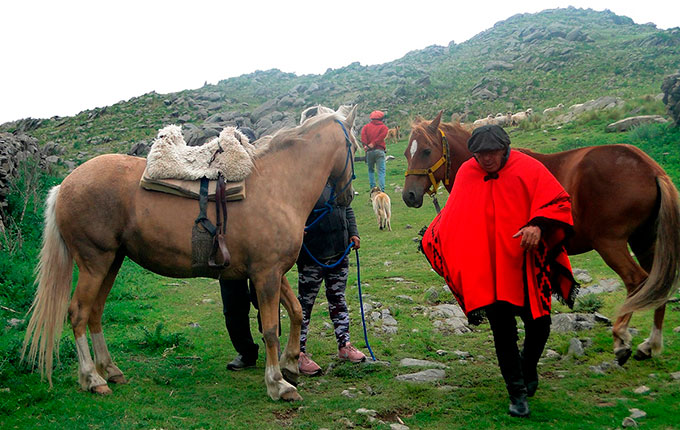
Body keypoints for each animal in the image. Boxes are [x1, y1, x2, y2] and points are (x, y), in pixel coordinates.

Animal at [22, 106, 362, 402]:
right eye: (355, 146)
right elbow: (270, 329)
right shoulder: (265, 274)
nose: (346, 197)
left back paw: (111, 370)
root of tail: (64, 185)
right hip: (95, 263)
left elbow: (296, 311)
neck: (277, 185)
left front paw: (291, 364)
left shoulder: (273, 272)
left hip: (112, 263)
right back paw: (92, 379)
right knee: (78, 312)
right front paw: (278, 384)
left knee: (94, 312)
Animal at [404, 110, 680, 362]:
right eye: (407, 152)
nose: (409, 195)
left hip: (611, 244)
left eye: (426, 151)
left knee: (636, 281)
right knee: (657, 286)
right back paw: (650, 345)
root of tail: (650, 168)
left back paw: (622, 339)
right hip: (644, 242)